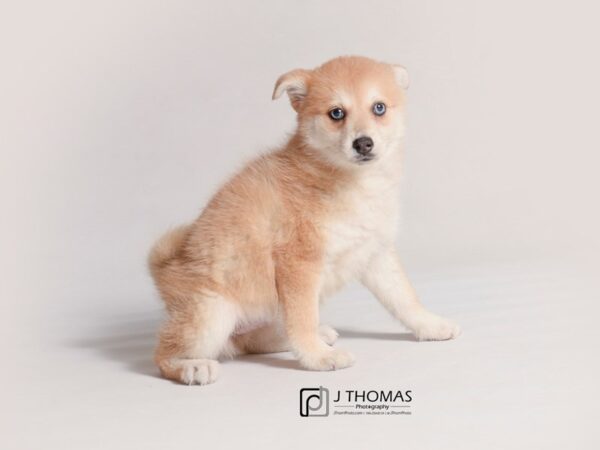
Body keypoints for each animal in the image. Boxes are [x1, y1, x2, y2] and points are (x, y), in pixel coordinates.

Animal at [150, 55, 460, 386]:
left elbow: (404, 297)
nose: (363, 143)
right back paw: (192, 367)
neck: (351, 182)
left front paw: (430, 325)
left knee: (249, 340)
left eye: (379, 107)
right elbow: (303, 318)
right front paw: (318, 357)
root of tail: (166, 270)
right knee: (165, 353)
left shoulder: (374, 253)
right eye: (336, 113)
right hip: (211, 313)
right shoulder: (299, 262)